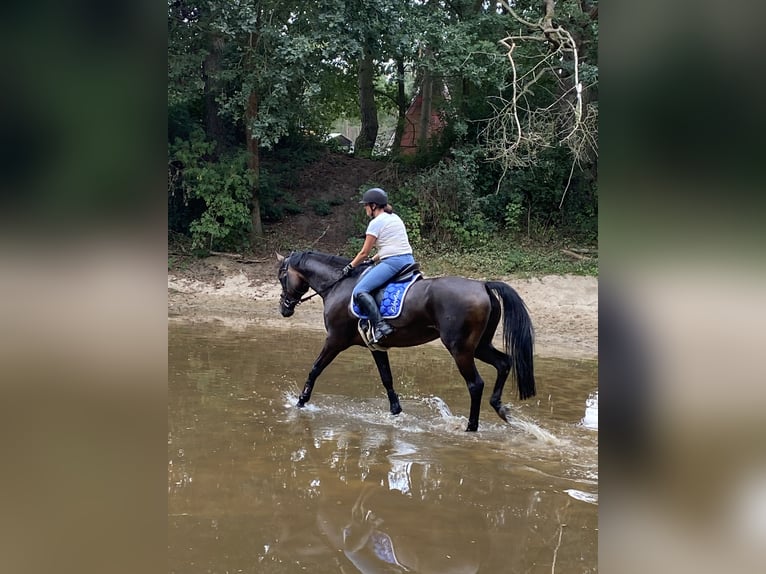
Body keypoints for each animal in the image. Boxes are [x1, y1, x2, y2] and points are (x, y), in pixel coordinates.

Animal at [280, 251, 536, 432]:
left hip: (460, 349)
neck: (338, 286)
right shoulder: (376, 346)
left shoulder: (335, 340)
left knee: (475, 384)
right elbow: (387, 378)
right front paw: (396, 412)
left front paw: (301, 402)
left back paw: (471, 427)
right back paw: (500, 408)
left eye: (282, 278)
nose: (284, 309)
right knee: (503, 363)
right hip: (479, 346)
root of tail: (483, 285)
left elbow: (315, 369)